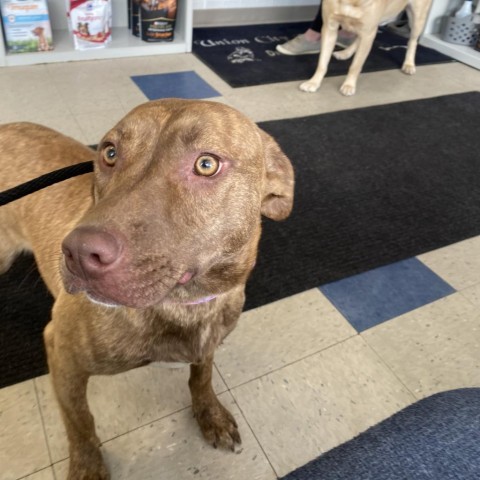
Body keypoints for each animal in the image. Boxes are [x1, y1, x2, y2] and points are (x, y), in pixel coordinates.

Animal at [0, 99, 294, 478]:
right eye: (110, 153)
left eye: (206, 164)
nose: (79, 253)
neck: (185, 304)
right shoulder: (63, 356)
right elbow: (80, 422)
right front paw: (87, 465)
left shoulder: (208, 342)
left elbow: (202, 377)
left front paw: (209, 414)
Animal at [300, 0, 432, 96]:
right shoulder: (329, 27)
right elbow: (322, 63)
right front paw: (314, 82)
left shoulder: (368, 32)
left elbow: (355, 66)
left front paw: (349, 85)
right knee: (359, 38)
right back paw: (346, 53)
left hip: (417, 18)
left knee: (413, 41)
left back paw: (409, 64)